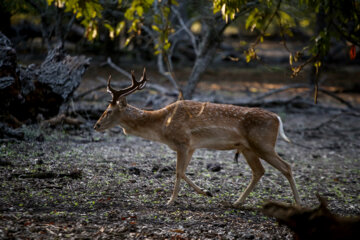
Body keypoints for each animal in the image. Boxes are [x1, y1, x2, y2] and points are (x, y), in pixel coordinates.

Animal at [94, 69, 302, 206]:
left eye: (109, 111)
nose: (96, 125)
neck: (162, 125)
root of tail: (277, 118)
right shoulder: (192, 146)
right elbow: (183, 171)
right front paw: (206, 192)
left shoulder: (182, 142)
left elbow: (178, 172)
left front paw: (170, 201)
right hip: (247, 148)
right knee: (259, 171)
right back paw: (236, 202)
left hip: (263, 144)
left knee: (286, 167)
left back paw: (298, 204)